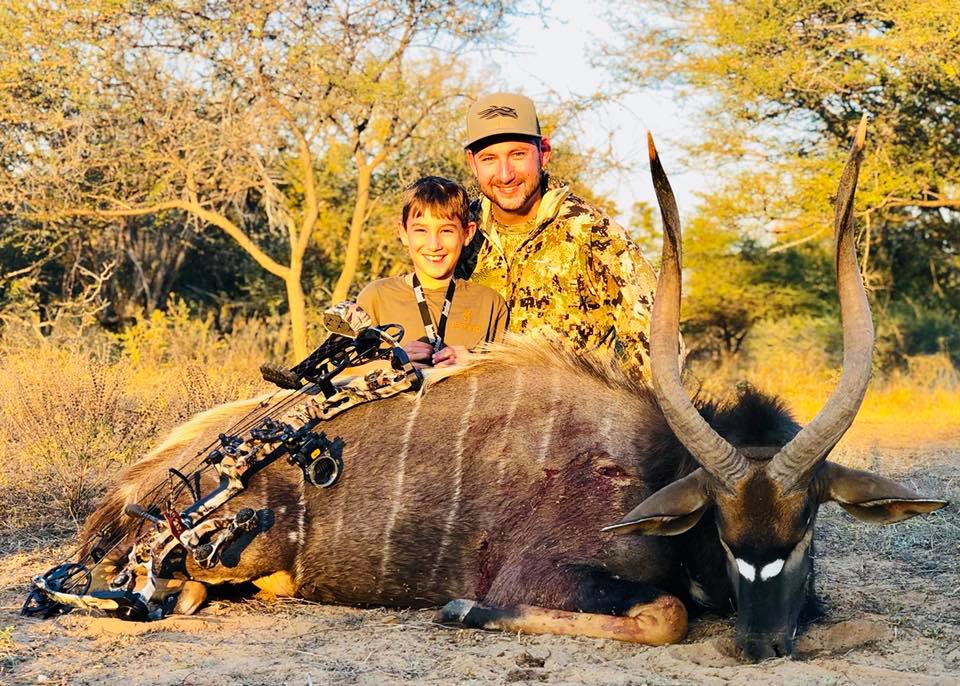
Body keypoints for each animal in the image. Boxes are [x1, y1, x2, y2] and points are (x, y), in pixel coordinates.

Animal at [77, 122, 944, 660]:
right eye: (724, 529)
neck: (649, 465)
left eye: (809, 522)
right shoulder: (550, 574)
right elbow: (667, 614)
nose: (763, 643)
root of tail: (133, 491)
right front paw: (466, 608)